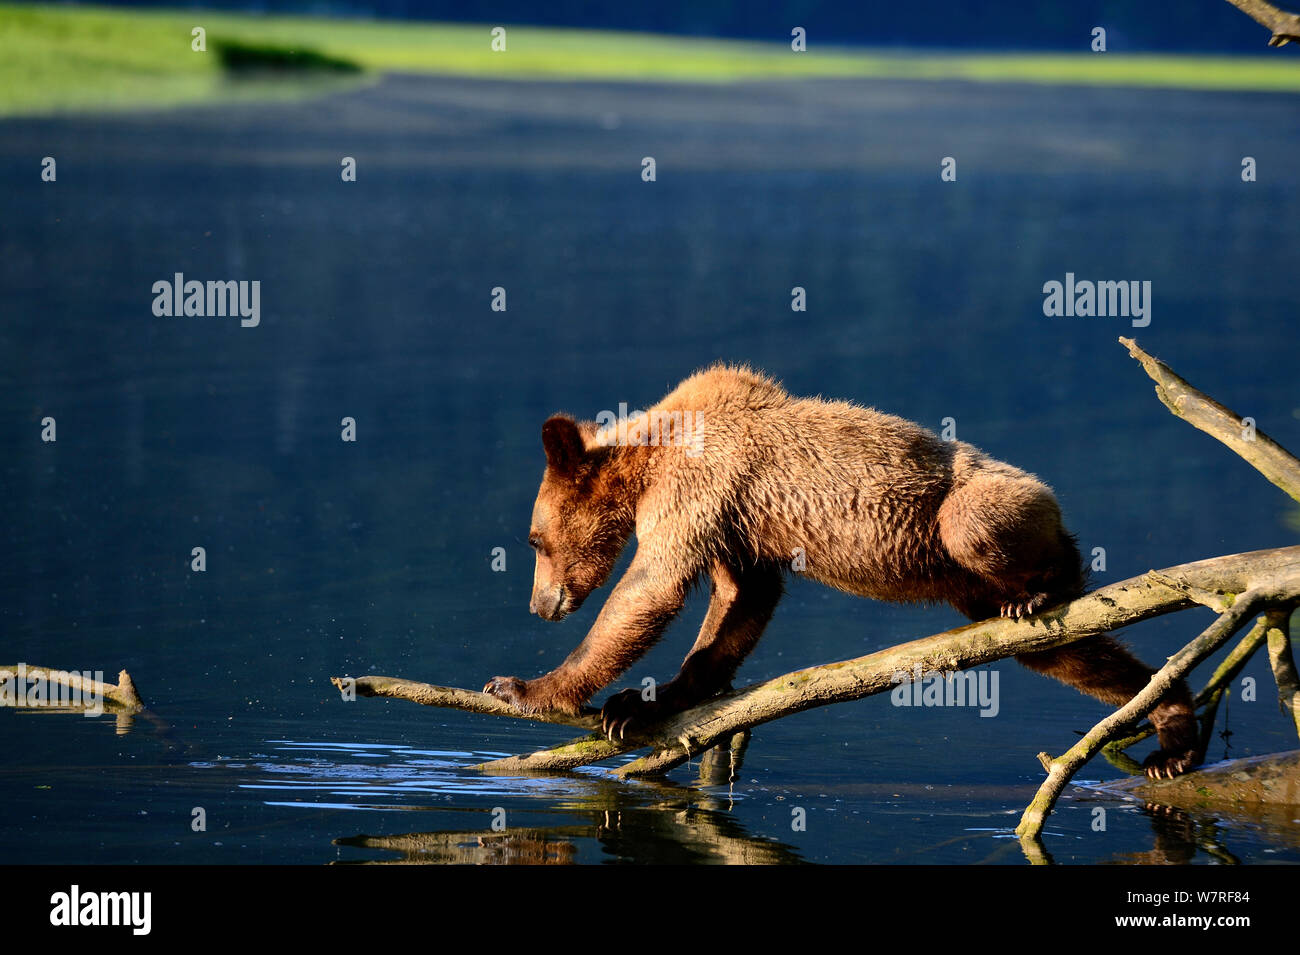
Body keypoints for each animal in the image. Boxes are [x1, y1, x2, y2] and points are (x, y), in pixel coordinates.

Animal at [483, 363, 1201, 779]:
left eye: (534, 539)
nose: (540, 605)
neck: (647, 460)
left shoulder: (697, 487)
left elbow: (650, 590)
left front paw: (529, 687)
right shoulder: (735, 521)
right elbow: (740, 602)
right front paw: (653, 699)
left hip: (982, 500)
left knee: (980, 528)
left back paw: (1051, 584)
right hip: (977, 589)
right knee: (1069, 654)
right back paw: (1172, 729)